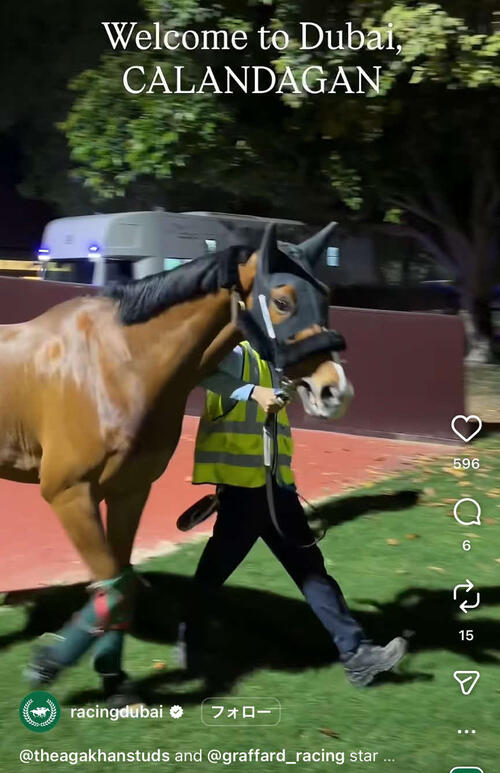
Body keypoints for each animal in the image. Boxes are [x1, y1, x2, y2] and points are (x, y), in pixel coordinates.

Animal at [0, 222, 353, 700]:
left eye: (327, 295)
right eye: (282, 301)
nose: (334, 391)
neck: (116, 364)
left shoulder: (130, 490)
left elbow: (122, 583)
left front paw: (112, 676)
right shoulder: (68, 494)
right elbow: (113, 586)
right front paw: (47, 663)